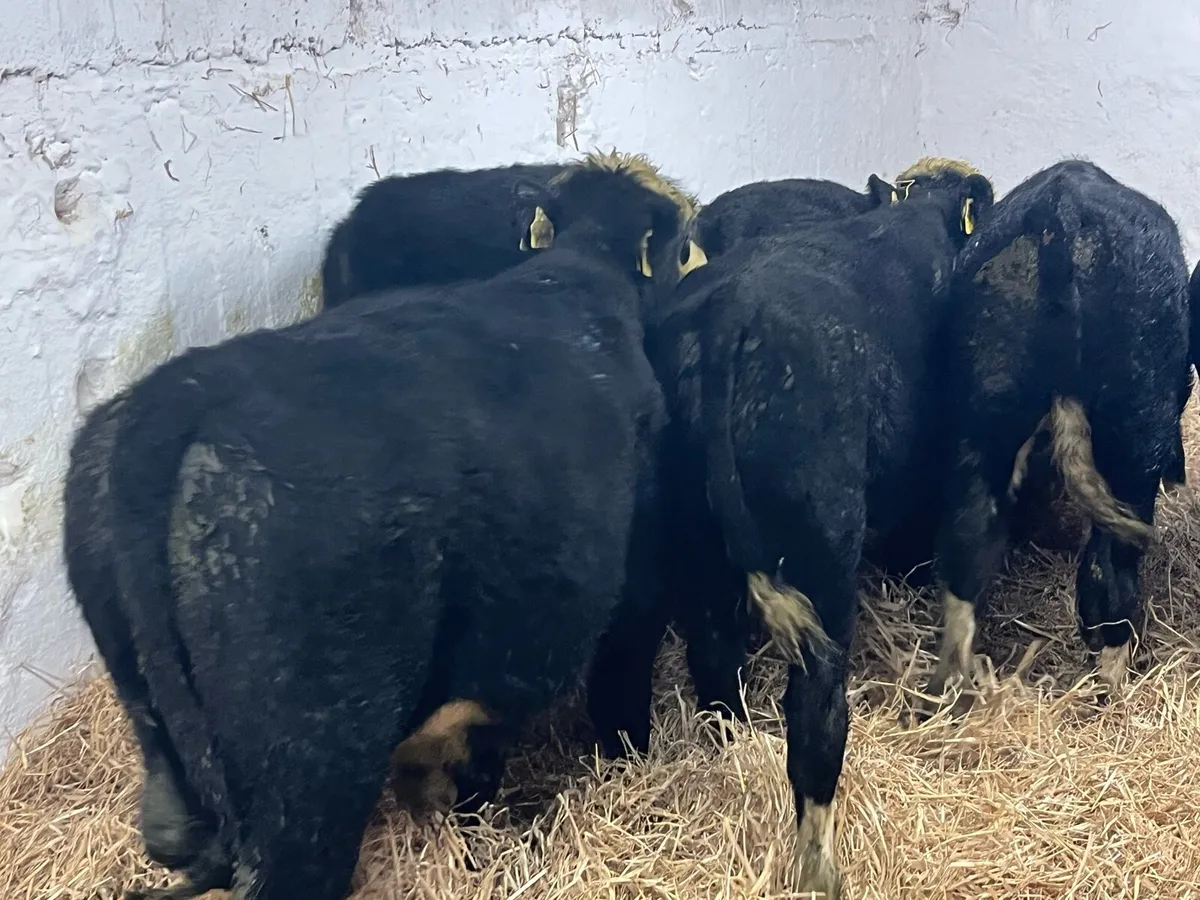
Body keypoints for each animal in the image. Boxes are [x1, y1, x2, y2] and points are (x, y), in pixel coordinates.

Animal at [644, 161, 994, 898]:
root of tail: (728, 319)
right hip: (821, 555)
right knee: (815, 711)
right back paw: (821, 870)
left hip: (692, 544)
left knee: (715, 665)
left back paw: (730, 759)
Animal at [905, 159, 1193, 712]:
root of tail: (1060, 211)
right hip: (1134, 433)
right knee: (1109, 570)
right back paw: (1112, 685)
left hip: (981, 423)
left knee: (965, 549)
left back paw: (955, 694)